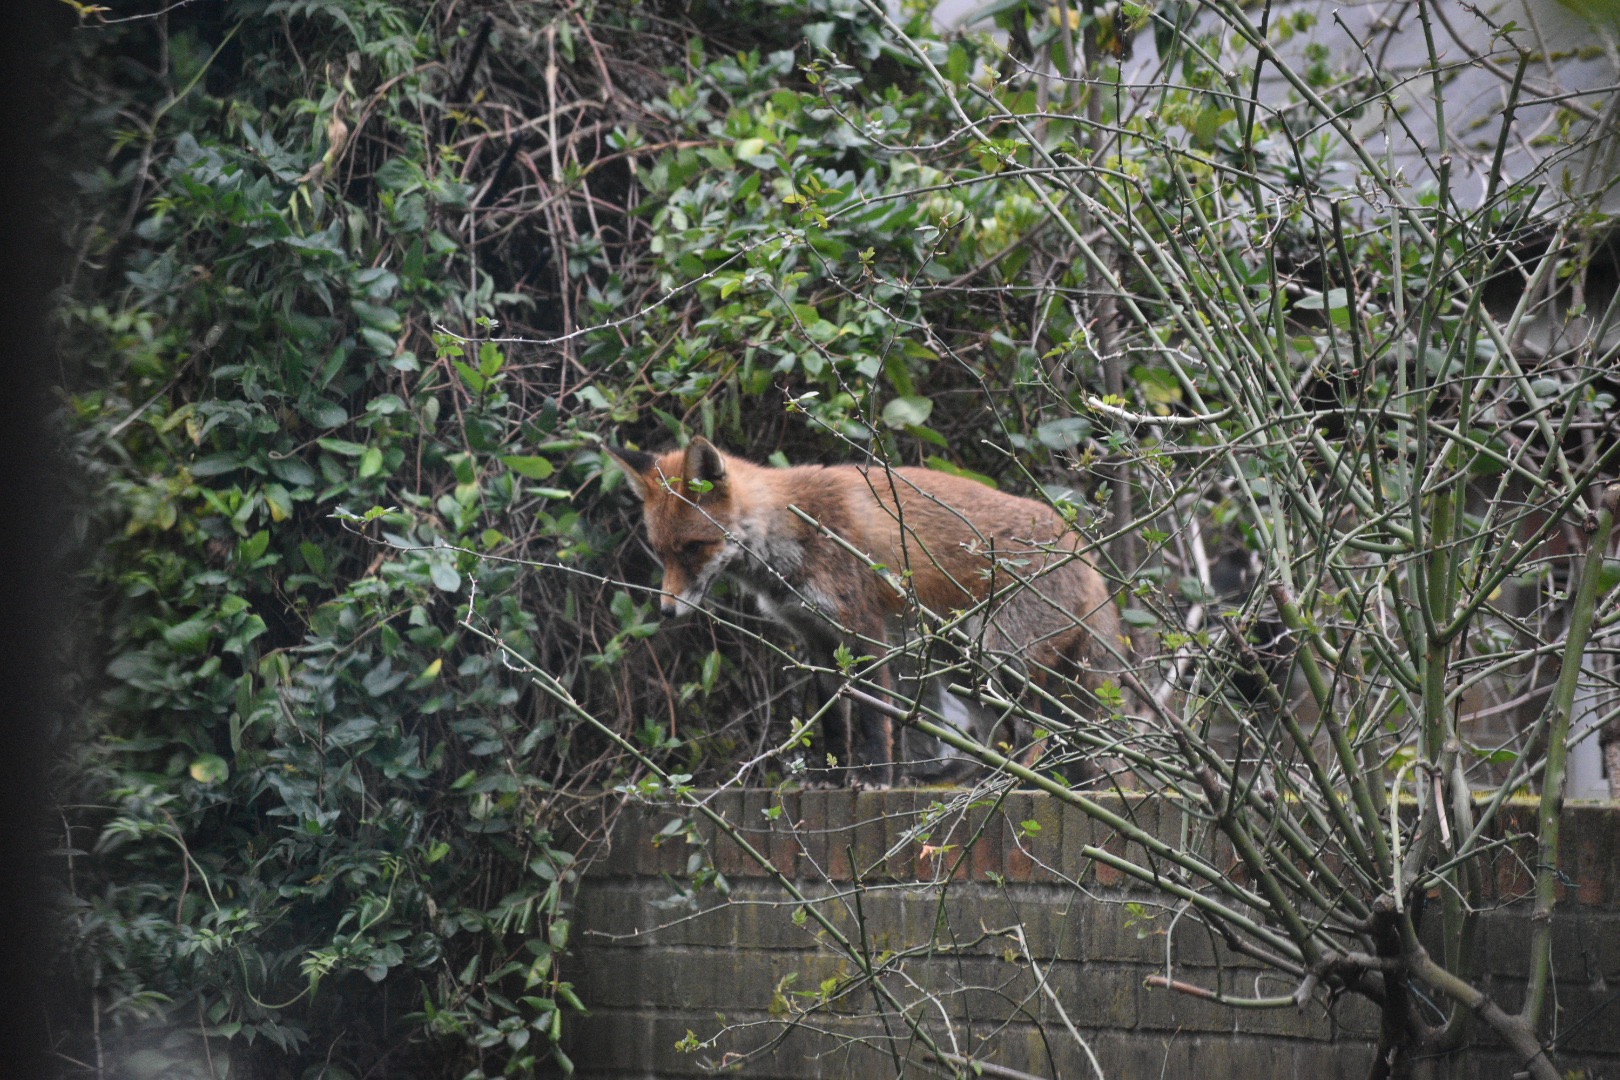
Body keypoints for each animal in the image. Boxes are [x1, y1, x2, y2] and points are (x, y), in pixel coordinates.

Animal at [605, 436, 1121, 786]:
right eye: (661, 552)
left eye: (694, 547)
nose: (666, 611)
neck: (791, 536)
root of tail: (1084, 549)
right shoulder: (815, 640)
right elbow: (833, 722)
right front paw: (829, 779)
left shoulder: (865, 630)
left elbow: (874, 716)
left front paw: (874, 777)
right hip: (965, 665)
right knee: (1005, 733)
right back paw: (964, 779)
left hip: (1001, 657)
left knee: (1038, 732)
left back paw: (1005, 780)